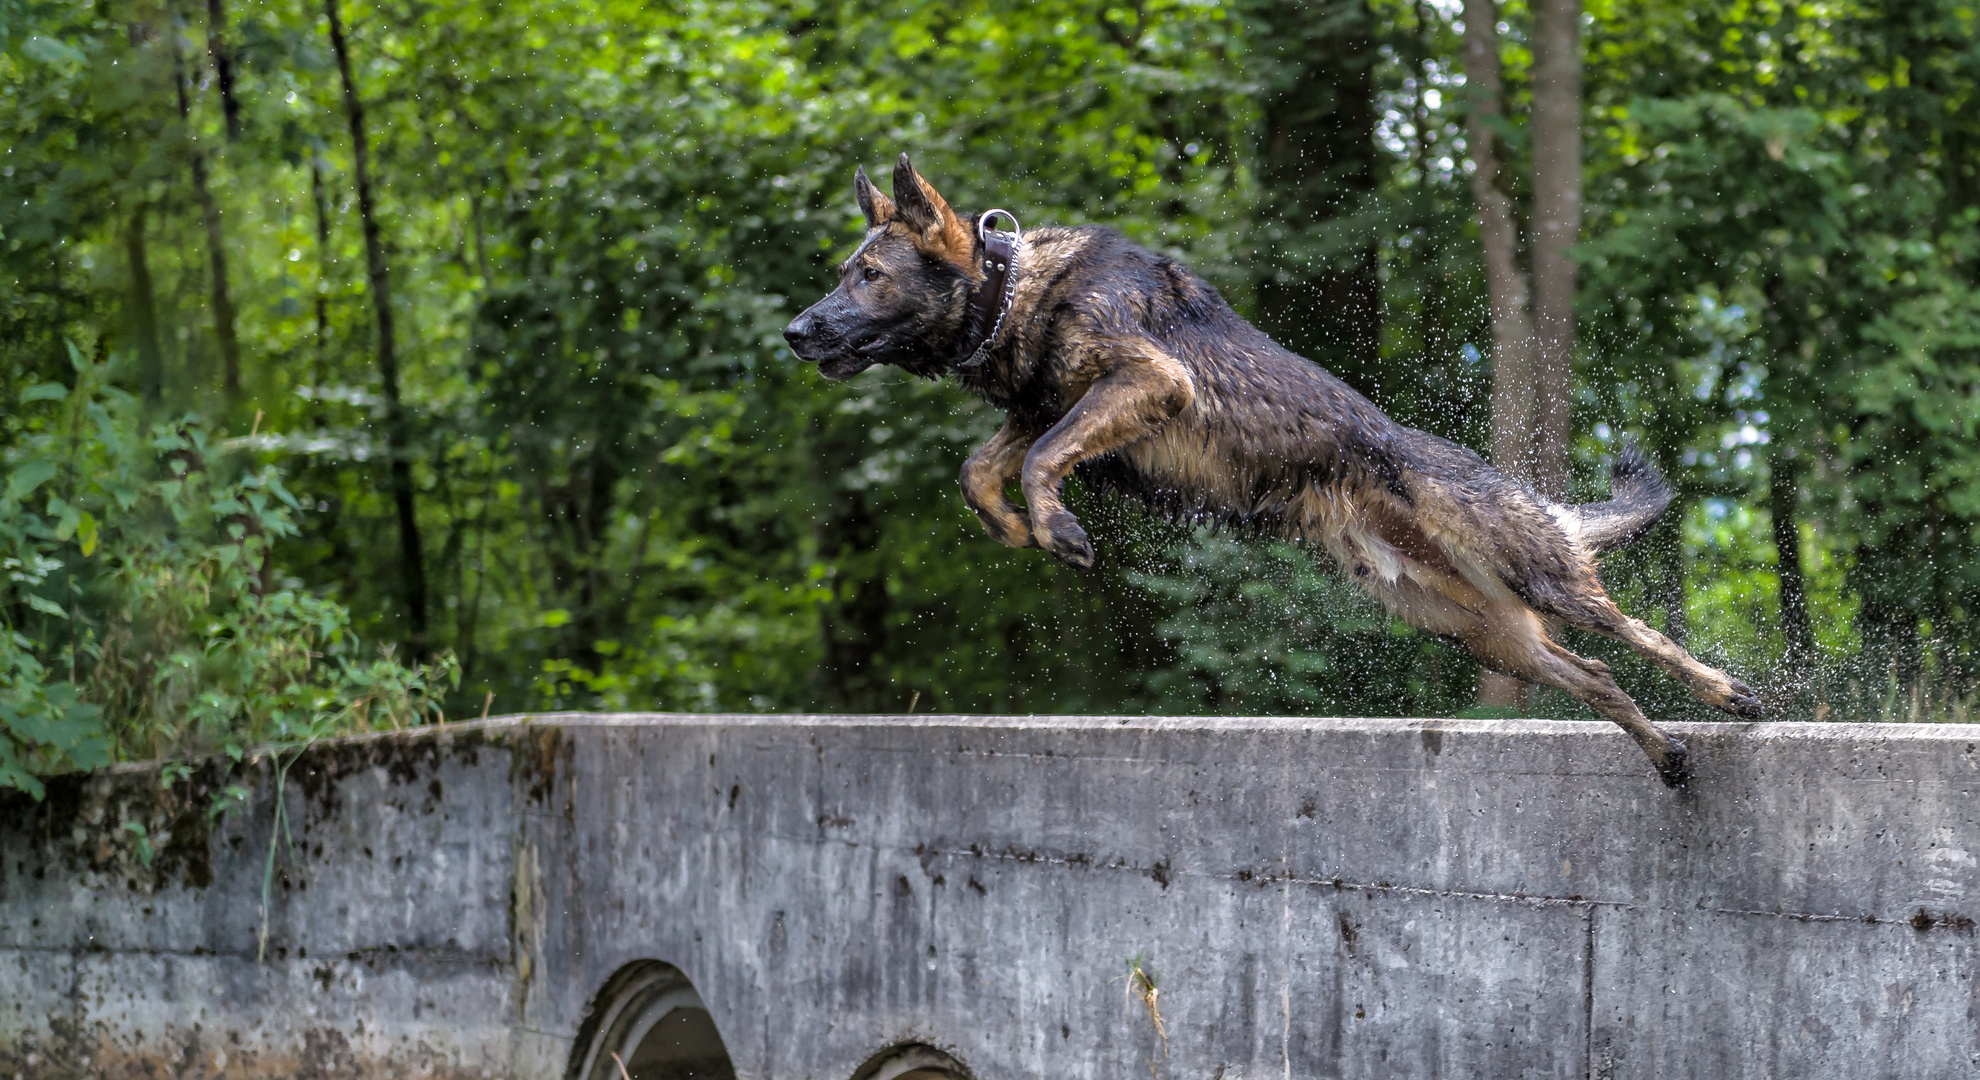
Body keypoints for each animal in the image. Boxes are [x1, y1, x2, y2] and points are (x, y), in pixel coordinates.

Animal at [784, 153, 1766, 784]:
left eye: (869, 276)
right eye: (843, 272)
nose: (795, 332)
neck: (1012, 286)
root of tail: (1533, 502)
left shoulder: (1148, 381)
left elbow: (1039, 460)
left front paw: (1056, 527)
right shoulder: (1038, 409)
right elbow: (982, 470)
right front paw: (1024, 530)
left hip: (1538, 575)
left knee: (1633, 634)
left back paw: (1731, 694)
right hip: (1479, 631)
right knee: (1593, 674)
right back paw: (1667, 755)